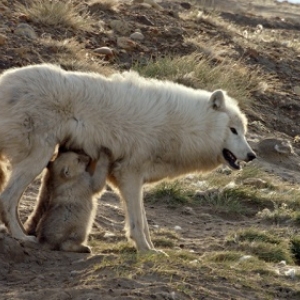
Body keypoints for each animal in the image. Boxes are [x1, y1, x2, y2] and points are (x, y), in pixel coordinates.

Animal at [0, 64, 255, 252]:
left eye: (244, 132)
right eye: (233, 130)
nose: (252, 155)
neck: (184, 127)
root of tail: (5, 80)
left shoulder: (131, 178)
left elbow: (143, 220)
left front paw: (151, 248)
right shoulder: (129, 175)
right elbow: (137, 222)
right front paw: (146, 250)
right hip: (39, 157)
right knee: (7, 199)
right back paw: (22, 237)